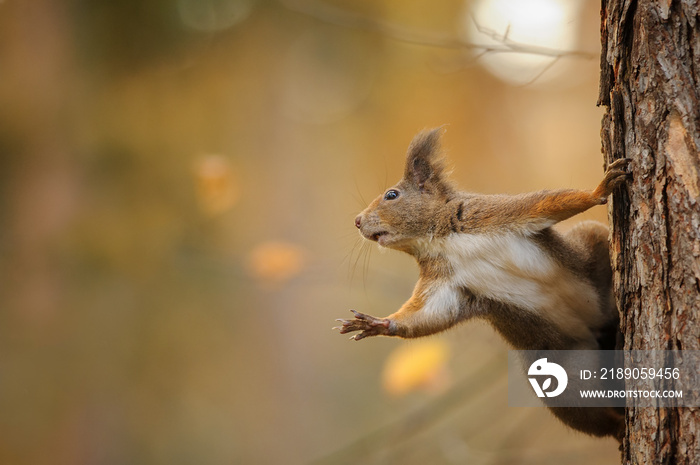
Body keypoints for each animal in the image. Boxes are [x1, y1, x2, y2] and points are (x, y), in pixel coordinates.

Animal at [334, 129, 628, 440]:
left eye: (392, 195)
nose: (357, 221)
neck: (438, 240)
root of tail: (595, 331)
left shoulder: (491, 213)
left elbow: (545, 203)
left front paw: (599, 190)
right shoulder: (442, 284)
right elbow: (428, 315)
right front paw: (377, 324)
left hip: (590, 244)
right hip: (563, 379)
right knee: (592, 415)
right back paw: (619, 425)